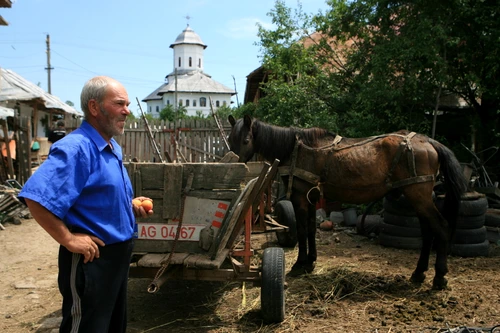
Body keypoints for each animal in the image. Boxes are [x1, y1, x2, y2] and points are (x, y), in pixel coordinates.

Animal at [229, 113, 466, 288]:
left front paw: (299, 264)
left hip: (418, 196)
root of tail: (428, 141)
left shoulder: (300, 197)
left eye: (246, 140)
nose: (234, 164)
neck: (298, 149)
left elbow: (303, 230)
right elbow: (312, 229)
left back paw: (439, 277)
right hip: (417, 197)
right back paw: (418, 273)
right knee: (427, 232)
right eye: (230, 140)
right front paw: (311, 262)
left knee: (441, 227)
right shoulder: (312, 197)